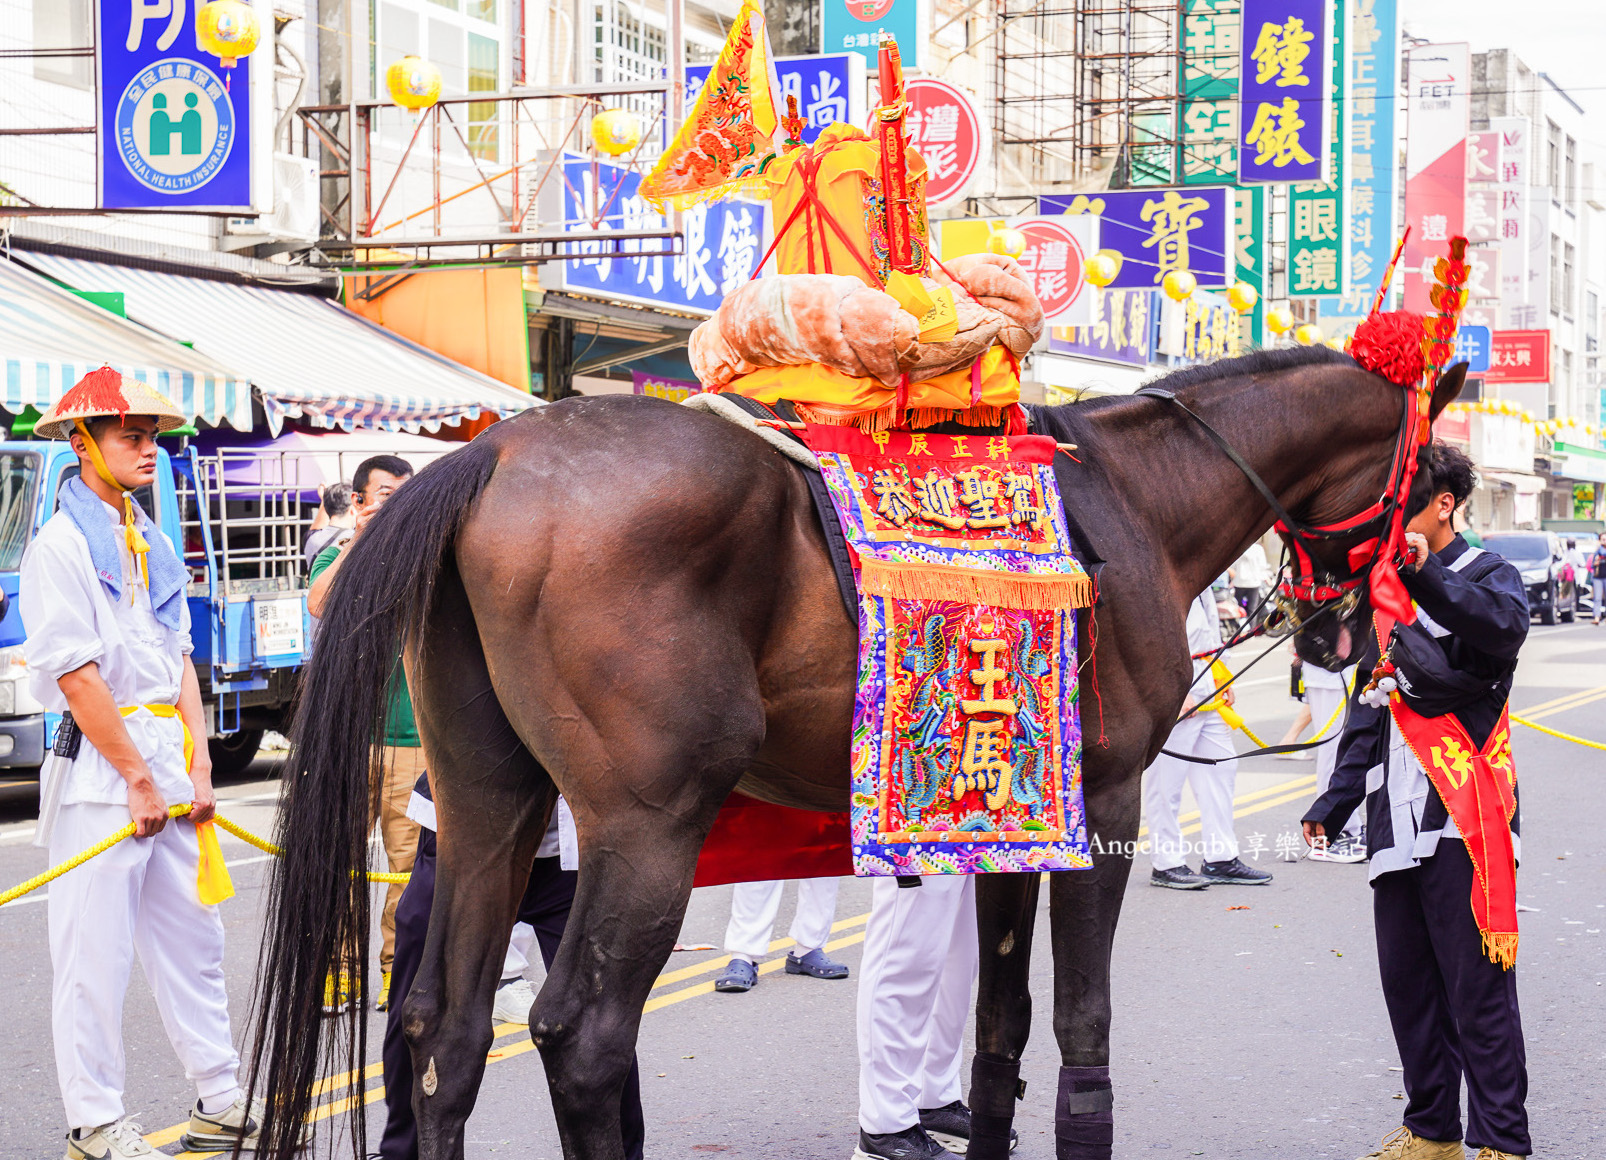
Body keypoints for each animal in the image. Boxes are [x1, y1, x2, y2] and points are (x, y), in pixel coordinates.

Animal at [244, 345, 1464, 1156]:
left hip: (489, 798)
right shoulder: (1104, 803)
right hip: (645, 826)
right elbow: (1081, 1020)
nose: (1344, 633)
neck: (1130, 501)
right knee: (578, 1035)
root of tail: (494, 454)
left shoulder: (1010, 818)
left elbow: (1001, 1023)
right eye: (1421, 478)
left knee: (438, 1029)